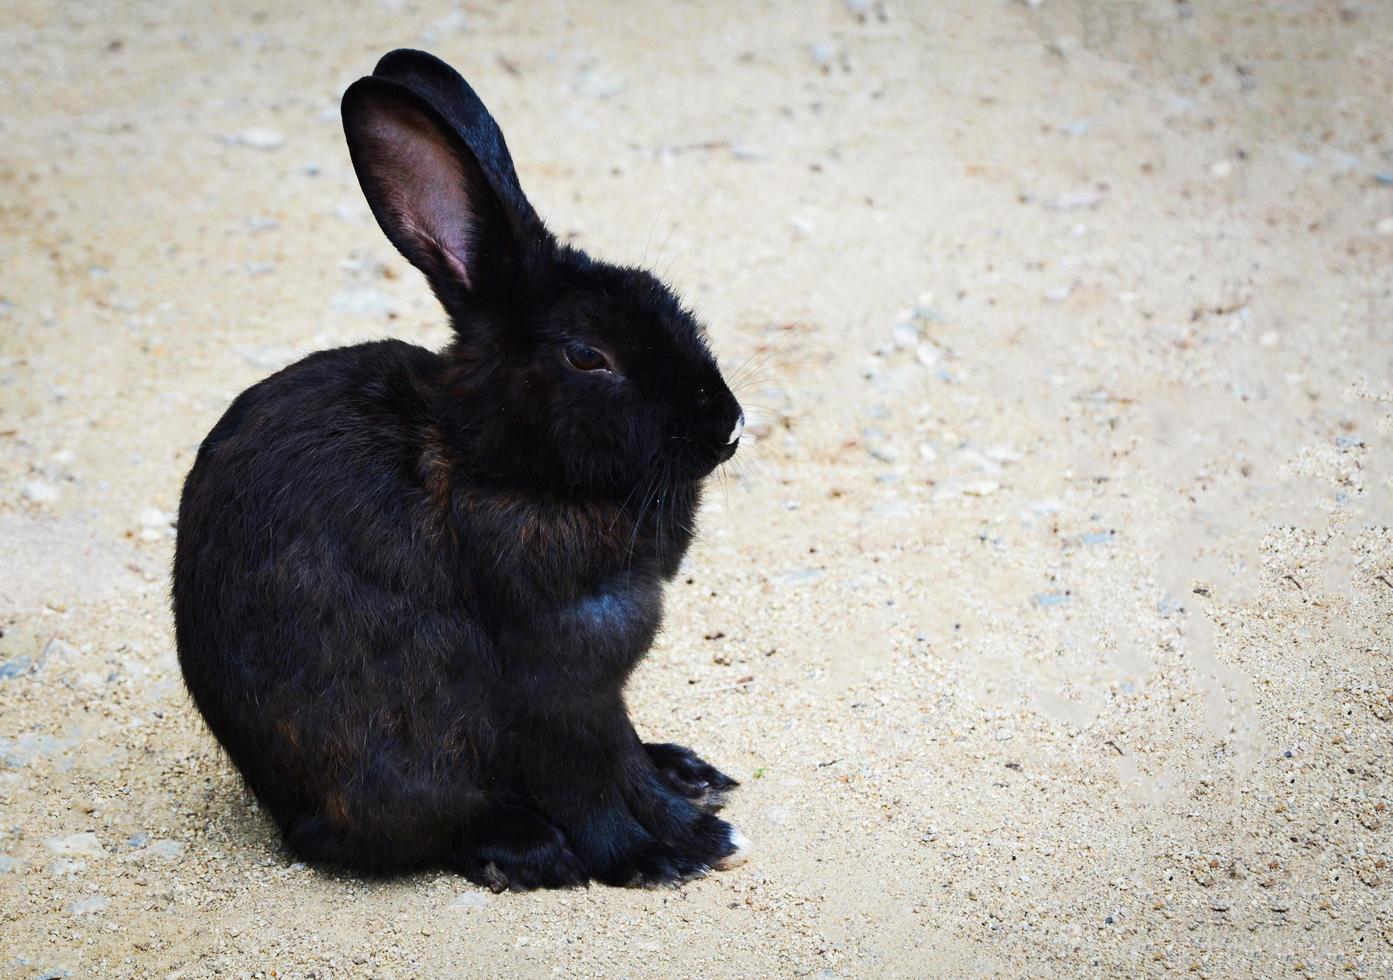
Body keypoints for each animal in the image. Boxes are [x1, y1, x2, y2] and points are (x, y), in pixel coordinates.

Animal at [174, 48, 752, 890]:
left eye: (666, 301)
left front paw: (685, 807)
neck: (501, 465)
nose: (729, 426)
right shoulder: (556, 682)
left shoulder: (592, 685)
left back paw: (685, 771)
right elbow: (594, 781)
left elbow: (622, 763)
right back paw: (528, 849)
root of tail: (284, 812)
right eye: (588, 355)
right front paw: (671, 850)